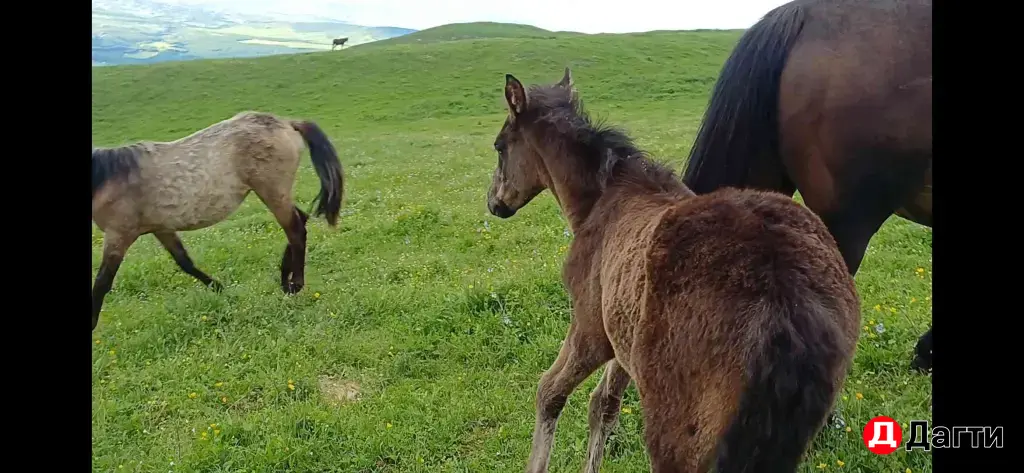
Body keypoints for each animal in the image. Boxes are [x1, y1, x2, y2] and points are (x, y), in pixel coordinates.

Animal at [91, 111, 345, 331]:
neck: (108, 178)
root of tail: (286, 123)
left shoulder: (119, 234)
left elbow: (102, 282)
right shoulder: (161, 228)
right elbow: (185, 263)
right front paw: (219, 288)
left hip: (272, 191)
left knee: (295, 230)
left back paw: (295, 284)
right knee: (300, 221)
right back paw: (284, 279)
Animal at [487, 68, 860, 473]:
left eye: (499, 146)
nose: (494, 203)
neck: (602, 199)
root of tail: (786, 298)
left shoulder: (590, 329)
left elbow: (549, 392)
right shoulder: (622, 336)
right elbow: (604, 405)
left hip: (678, 428)